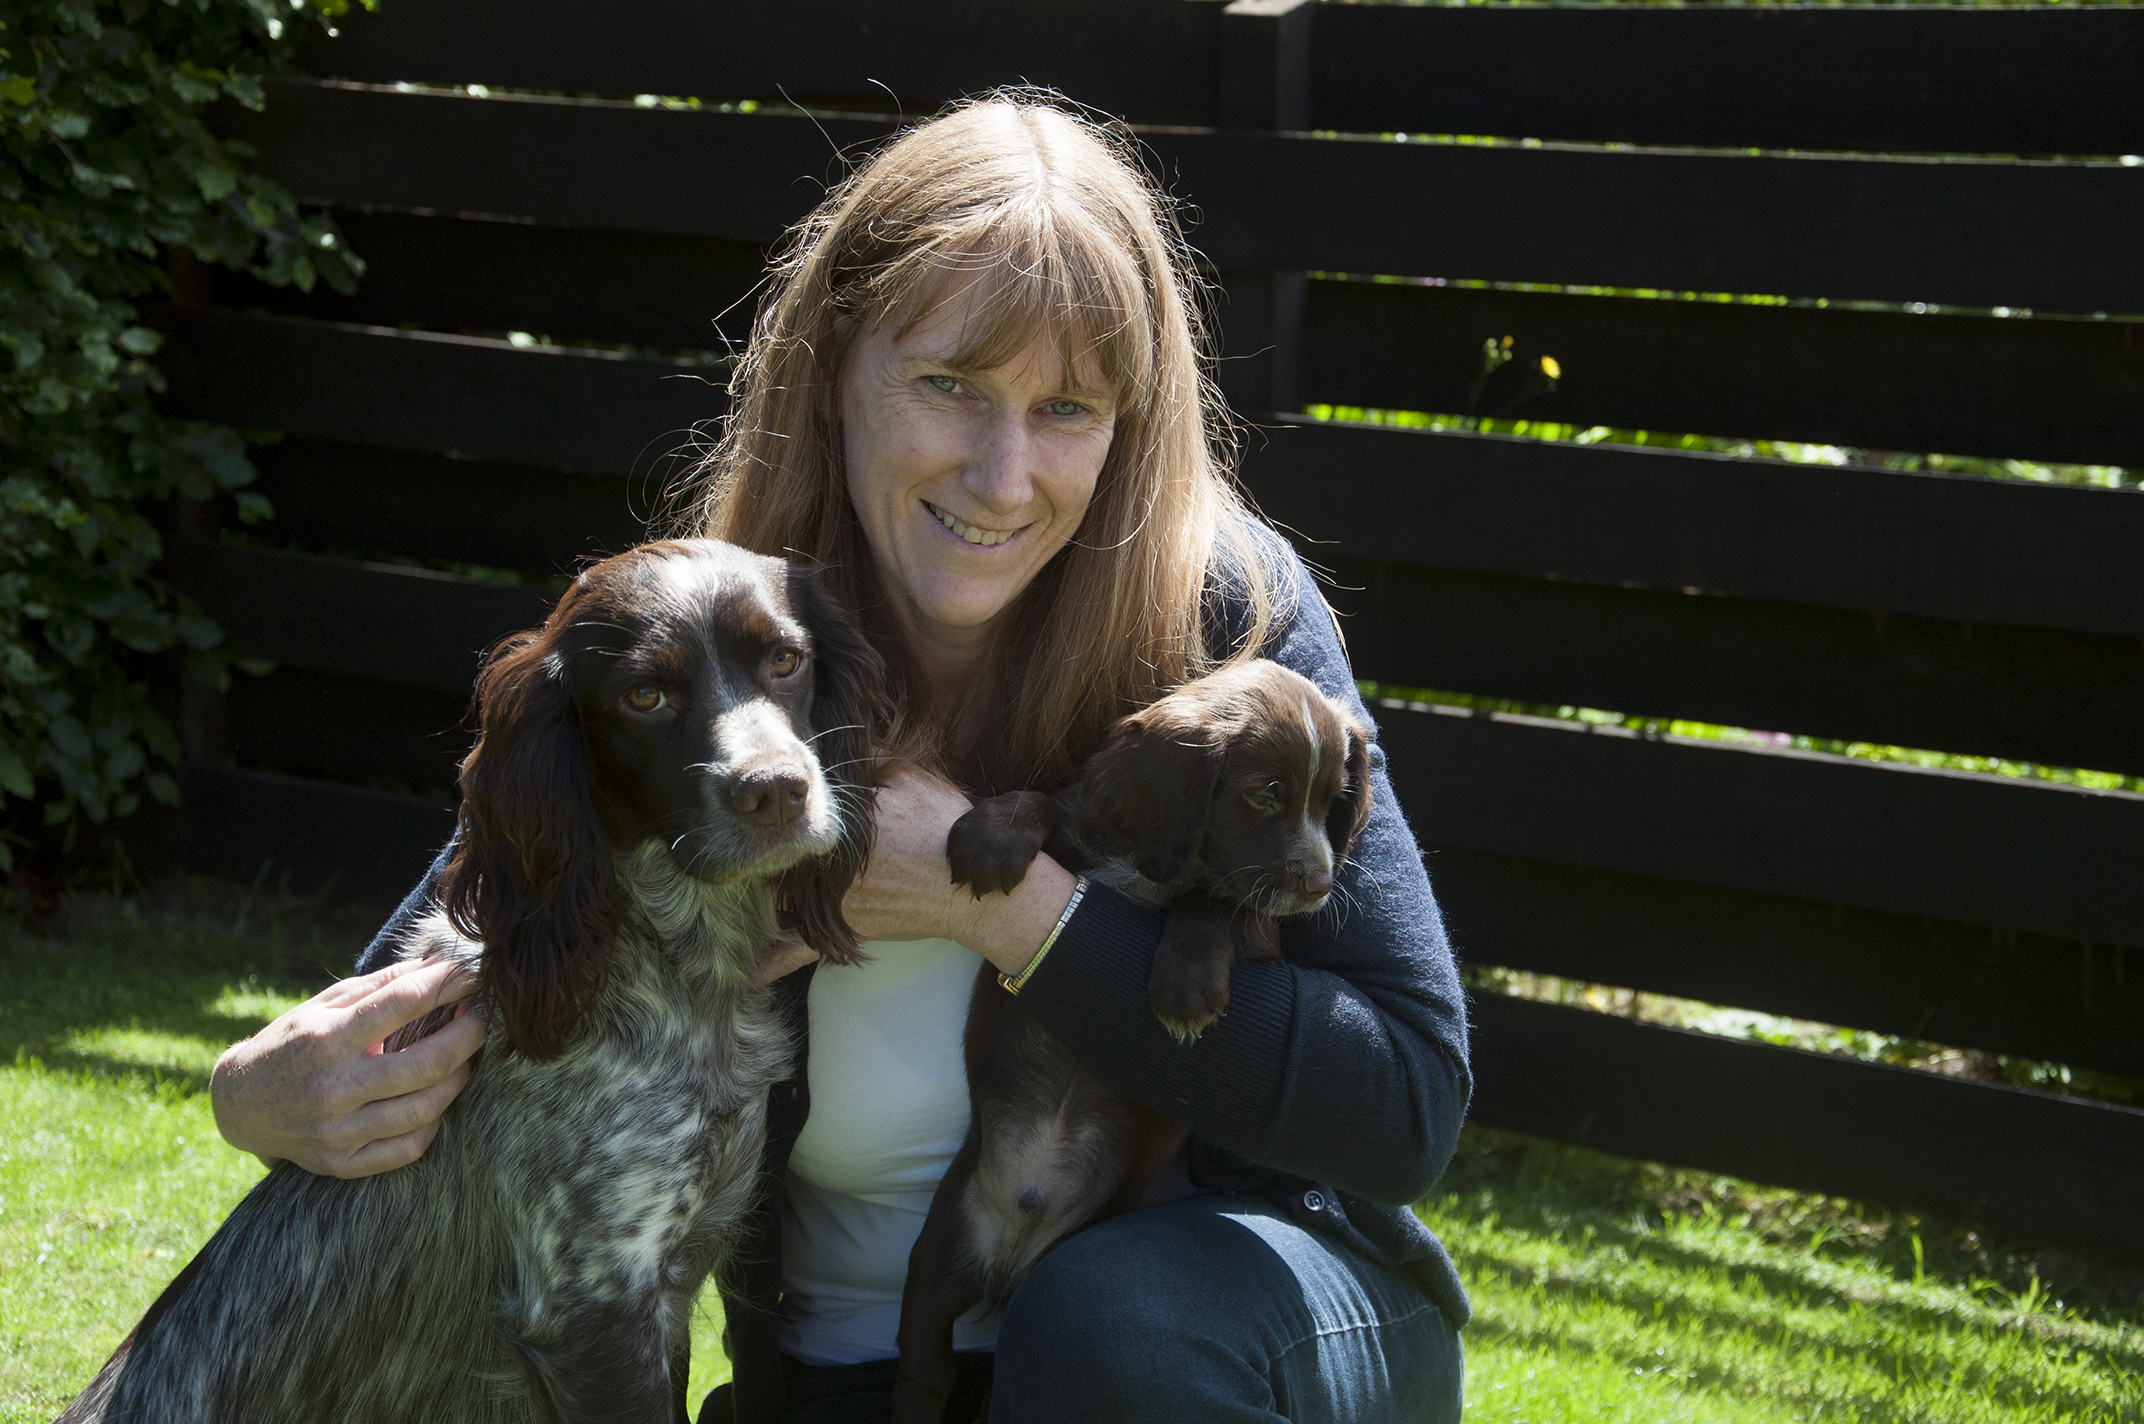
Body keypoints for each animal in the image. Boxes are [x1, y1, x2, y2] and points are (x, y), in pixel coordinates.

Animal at [887, 660, 1372, 1415]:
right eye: (1267, 794)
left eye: (1334, 801)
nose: (1321, 886)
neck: (1154, 864)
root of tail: (1010, 1257)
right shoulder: (1082, 828)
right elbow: (1045, 801)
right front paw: (994, 835)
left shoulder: (1261, 933)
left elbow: (1218, 901)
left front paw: (1186, 985)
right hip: (938, 1252)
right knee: (923, 1364)